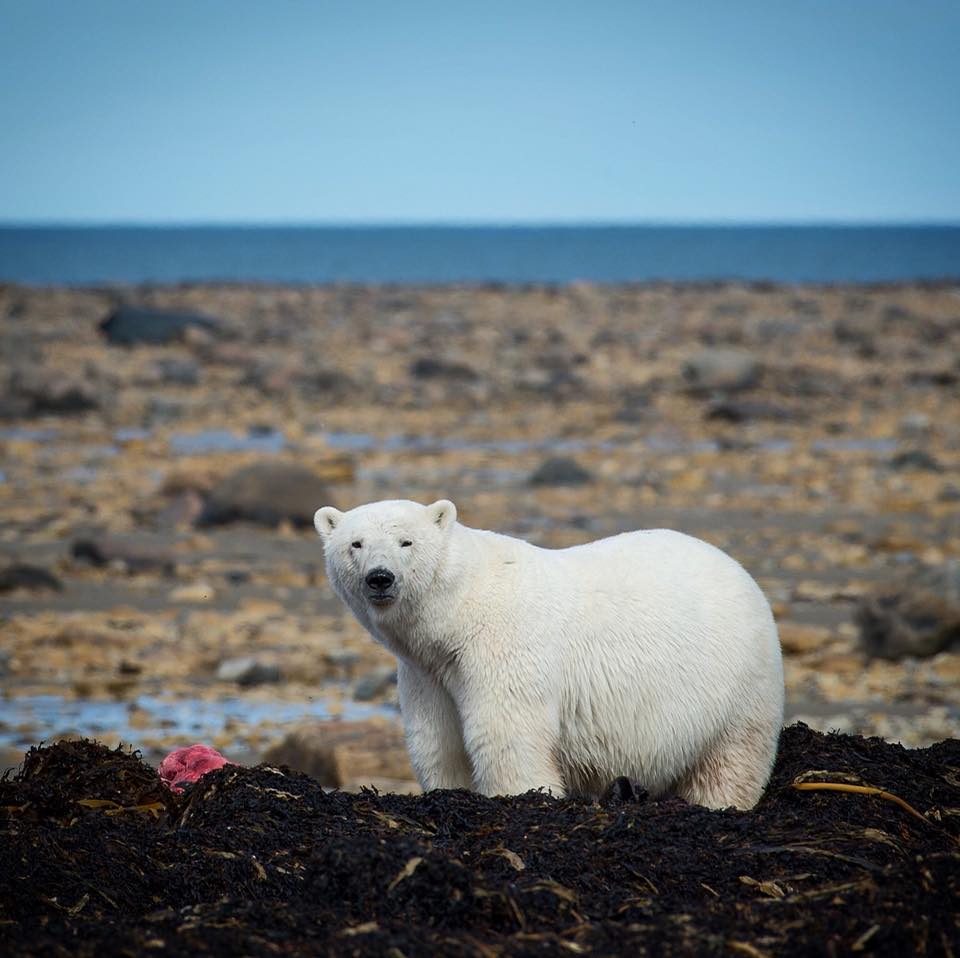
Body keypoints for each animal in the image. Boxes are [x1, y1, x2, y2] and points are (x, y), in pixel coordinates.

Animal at [314, 498, 784, 809]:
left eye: (406, 542)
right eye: (356, 543)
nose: (380, 578)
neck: (461, 607)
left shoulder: (504, 646)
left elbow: (505, 731)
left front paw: (518, 796)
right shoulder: (427, 669)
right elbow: (436, 737)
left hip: (738, 683)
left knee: (731, 760)